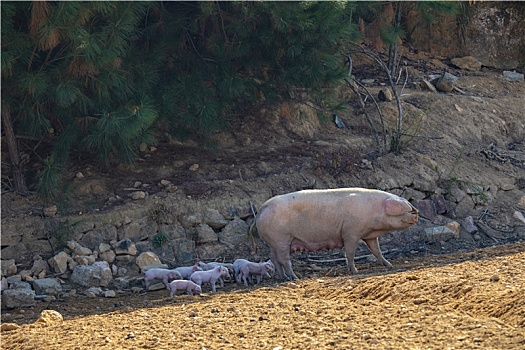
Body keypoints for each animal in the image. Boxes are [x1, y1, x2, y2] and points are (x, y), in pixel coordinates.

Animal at [254, 187, 418, 280]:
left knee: (274, 259)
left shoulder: (369, 235)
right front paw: (355, 272)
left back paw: (282, 278)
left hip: (273, 242)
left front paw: (389, 265)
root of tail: (261, 210)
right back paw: (294, 278)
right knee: (283, 259)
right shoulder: (351, 232)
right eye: (407, 209)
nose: (416, 213)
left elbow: (377, 251)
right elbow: (350, 253)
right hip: (281, 238)